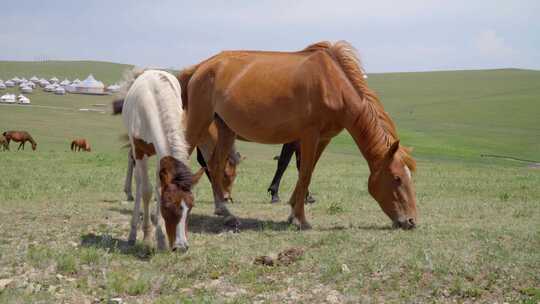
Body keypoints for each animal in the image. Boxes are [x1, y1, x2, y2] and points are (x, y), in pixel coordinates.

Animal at [114, 69, 205, 252]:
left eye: (191, 206)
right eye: (167, 206)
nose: (181, 246)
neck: (154, 102)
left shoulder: (160, 152)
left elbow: (158, 188)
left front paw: (161, 238)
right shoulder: (139, 150)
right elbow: (147, 191)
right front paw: (147, 236)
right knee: (139, 183)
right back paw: (133, 232)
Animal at [179, 41, 420, 230]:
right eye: (397, 178)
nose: (411, 221)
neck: (332, 83)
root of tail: (201, 67)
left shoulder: (323, 139)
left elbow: (308, 172)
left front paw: (293, 212)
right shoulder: (309, 136)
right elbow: (303, 173)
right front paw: (301, 219)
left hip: (226, 129)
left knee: (215, 165)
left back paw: (225, 212)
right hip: (199, 122)